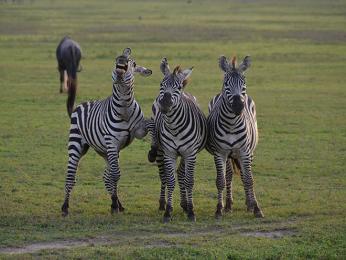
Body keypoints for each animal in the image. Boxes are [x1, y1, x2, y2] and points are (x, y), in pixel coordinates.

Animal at [60, 47, 151, 216]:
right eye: (116, 60)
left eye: (133, 63)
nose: (123, 58)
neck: (124, 109)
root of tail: (79, 105)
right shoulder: (112, 142)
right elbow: (116, 175)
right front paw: (114, 205)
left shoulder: (138, 132)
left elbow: (113, 175)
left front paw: (115, 204)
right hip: (77, 145)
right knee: (71, 176)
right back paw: (65, 207)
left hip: (105, 151)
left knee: (106, 177)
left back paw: (118, 204)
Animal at [148, 58, 205, 222]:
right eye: (161, 84)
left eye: (178, 87)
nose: (165, 105)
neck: (175, 127)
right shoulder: (169, 153)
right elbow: (170, 180)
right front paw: (168, 211)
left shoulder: (190, 153)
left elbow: (189, 181)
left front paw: (191, 211)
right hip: (160, 151)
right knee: (163, 177)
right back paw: (162, 203)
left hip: (185, 155)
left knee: (181, 174)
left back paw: (185, 205)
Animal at [207, 55, 264, 219]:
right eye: (226, 83)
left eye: (243, 82)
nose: (238, 106)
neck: (231, 123)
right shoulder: (220, 153)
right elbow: (221, 180)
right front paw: (219, 209)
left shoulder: (244, 152)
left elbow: (249, 179)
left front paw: (256, 208)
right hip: (229, 156)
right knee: (229, 175)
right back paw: (228, 205)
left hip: (249, 152)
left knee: (244, 175)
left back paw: (249, 203)